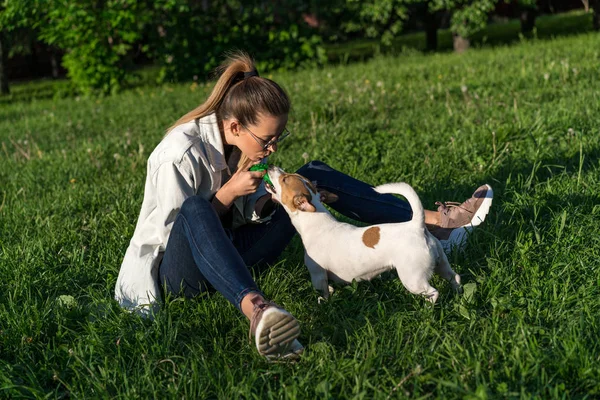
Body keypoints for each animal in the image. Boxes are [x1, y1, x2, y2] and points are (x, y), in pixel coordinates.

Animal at [264, 166, 462, 304]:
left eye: (284, 178)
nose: (271, 166)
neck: (315, 220)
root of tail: (417, 226)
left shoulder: (317, 274)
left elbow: (322, 293)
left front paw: (323, 305)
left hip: (413, 278)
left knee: (433, 292)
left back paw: (428, 308)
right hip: (441, 264)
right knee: (455, 277)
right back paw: (460, 295)